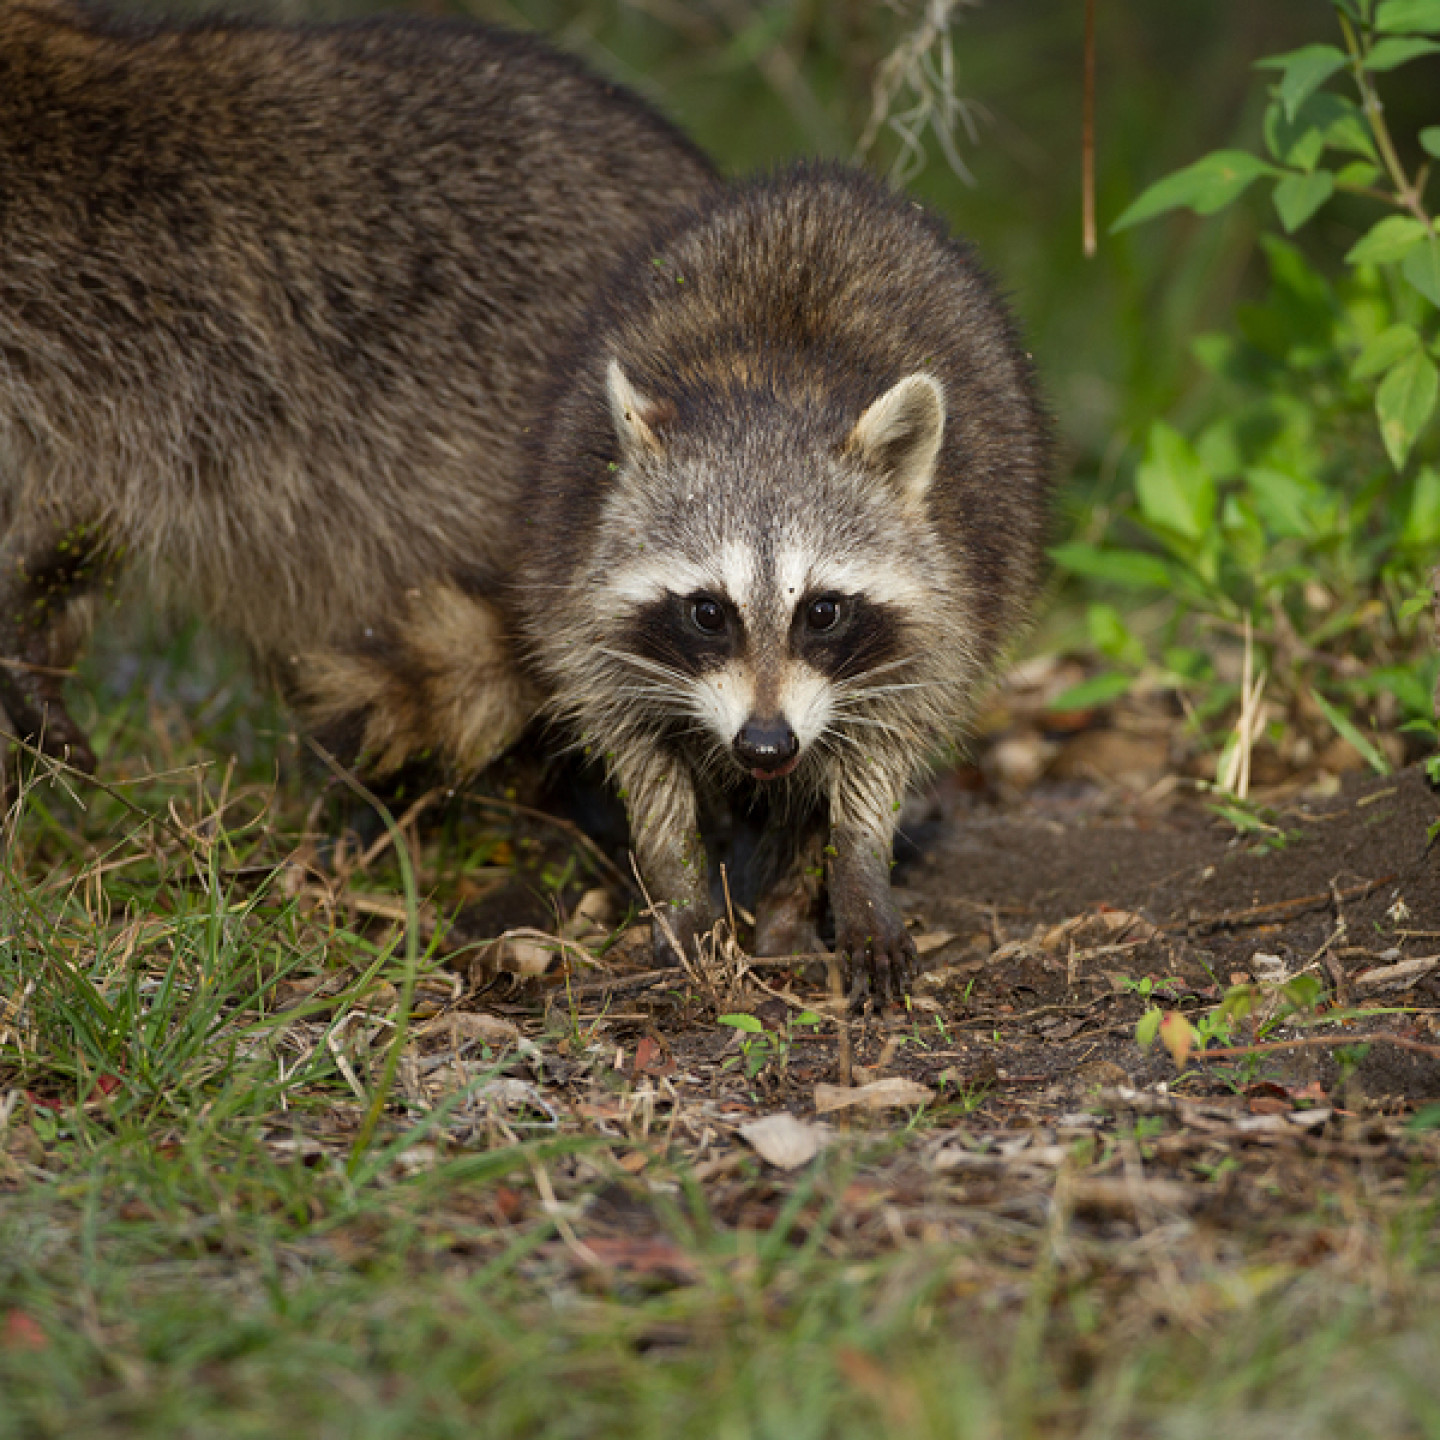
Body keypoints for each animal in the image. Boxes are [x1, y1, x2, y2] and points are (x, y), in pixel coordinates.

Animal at [518, 165, 1048, 1002]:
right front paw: (682, 891)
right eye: (708, 612)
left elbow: (874, 761)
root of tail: (823, 180)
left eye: (823, 611)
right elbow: (642, 763)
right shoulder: (579, 602)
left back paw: (789, 906)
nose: (764, 744)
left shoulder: (940, 625)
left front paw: (855, 871)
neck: (770, 403)